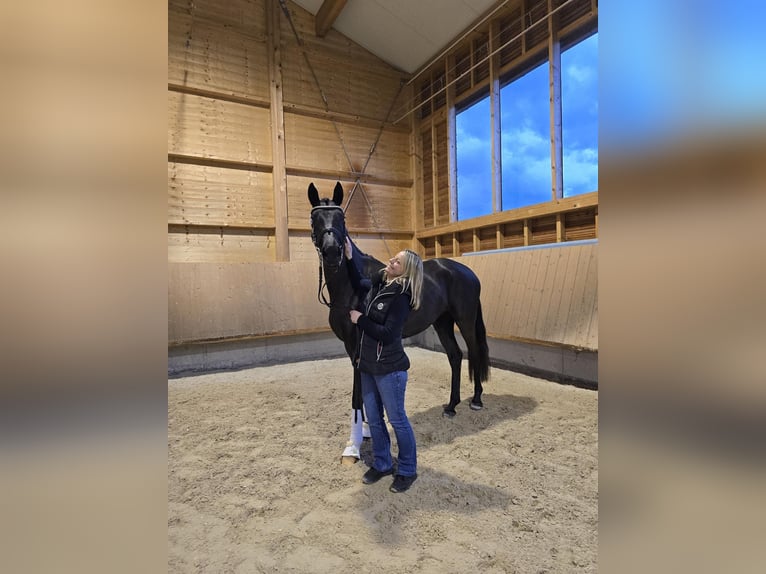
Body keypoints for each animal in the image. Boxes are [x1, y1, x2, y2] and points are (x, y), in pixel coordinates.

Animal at [308, 181, 490, 462]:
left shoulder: (358, 343)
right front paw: (367, 430)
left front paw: (356, 443)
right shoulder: (351, 347)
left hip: (465, 320)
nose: (331, 252)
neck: (351, 288)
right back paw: (451, 406)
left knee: (473, 352)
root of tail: (467, 272)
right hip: (442, 323)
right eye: (314, 219)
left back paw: (477, 400)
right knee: (455, 356)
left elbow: (357, 392)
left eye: (341, 218)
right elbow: (363, 391)